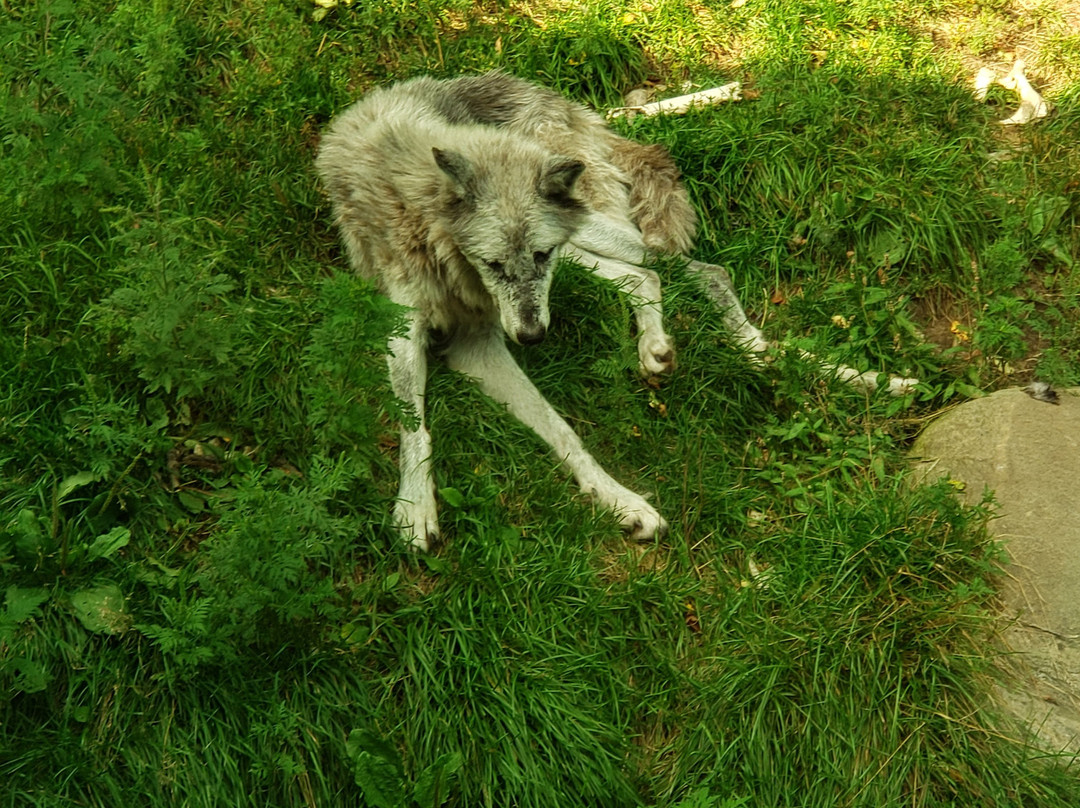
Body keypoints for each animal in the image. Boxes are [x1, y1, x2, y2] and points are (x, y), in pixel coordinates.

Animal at [315, 70, 907, 548]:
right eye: (493, 264)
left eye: (535, 256)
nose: (531, 338)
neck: (429, 224)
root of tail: (556, 104)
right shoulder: (434, 336)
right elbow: (418, 421)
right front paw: (415, 507)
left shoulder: (488, 327)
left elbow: (562, 430)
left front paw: (619, 498)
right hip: (581, 252)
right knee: (653, 277)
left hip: (584, 236)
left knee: (700, 271)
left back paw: (853, 375)